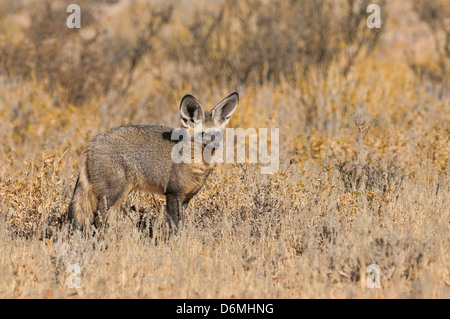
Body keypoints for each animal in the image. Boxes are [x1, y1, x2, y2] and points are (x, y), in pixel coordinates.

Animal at [67, 92, 239, 232]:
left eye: (217, 134)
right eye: (203, 134)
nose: (215, 146)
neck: (194, 164)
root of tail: (94, 142)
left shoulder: (186, 198)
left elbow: (181, 225)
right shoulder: (173, 194)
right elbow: (175, 226)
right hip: (113, 195)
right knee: (98, 222)